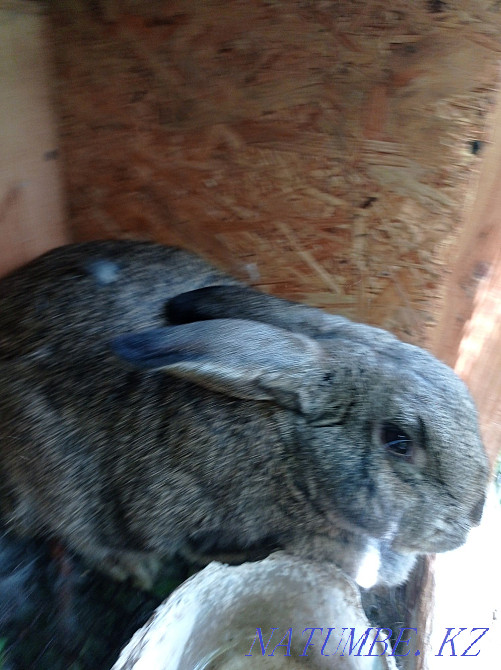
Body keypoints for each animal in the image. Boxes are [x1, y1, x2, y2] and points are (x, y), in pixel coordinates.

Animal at [0, 240, 489, 590]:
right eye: (398, 441)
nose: (475, 517)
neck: (292, 454)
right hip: (47, 458)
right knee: (72, 525)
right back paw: (131, 566)